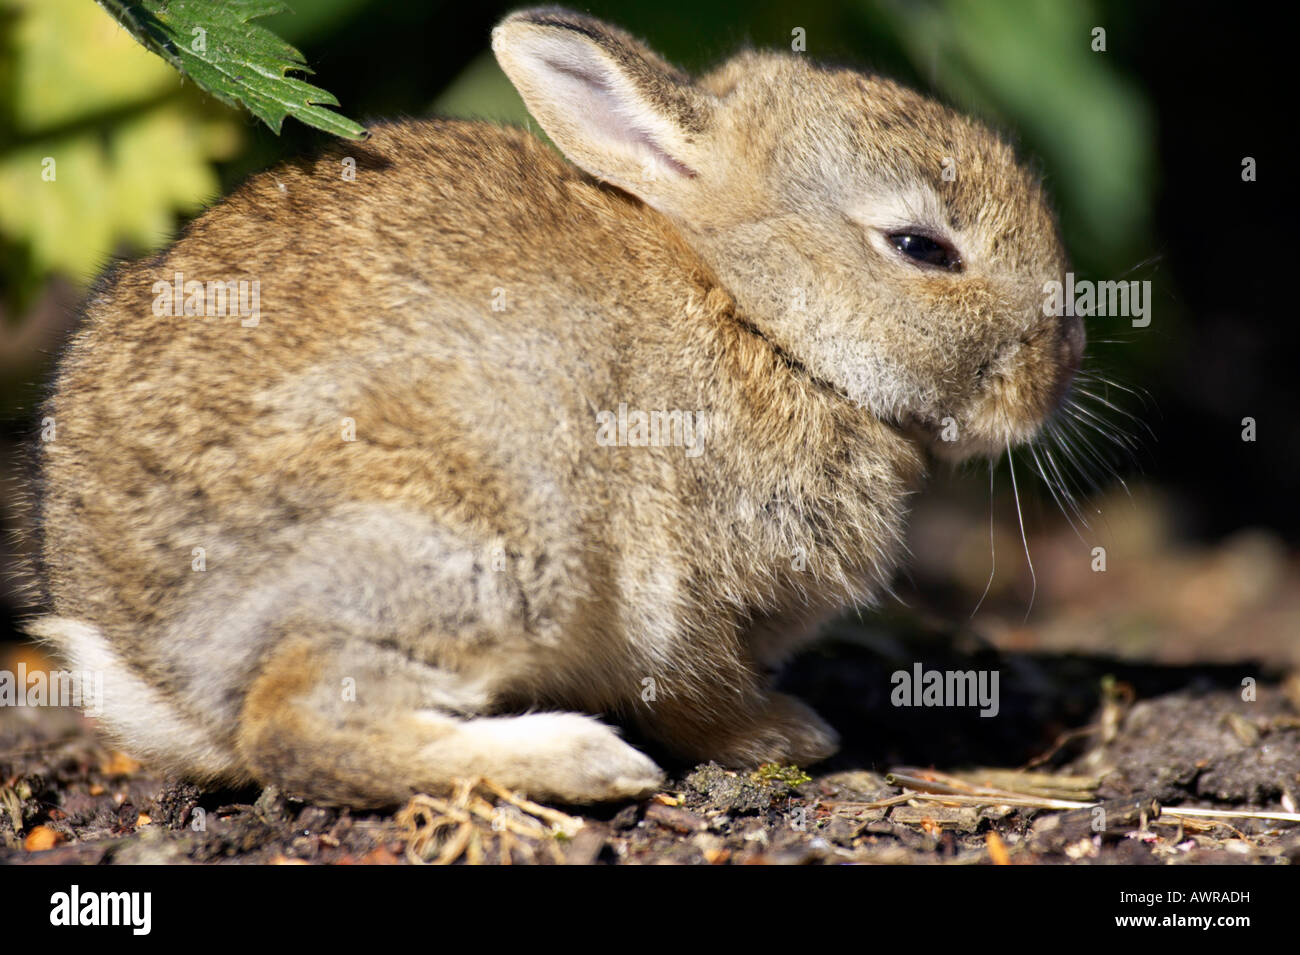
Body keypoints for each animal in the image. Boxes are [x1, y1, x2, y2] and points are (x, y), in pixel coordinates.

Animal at [27, 7, 1083, 806]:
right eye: (921, 247)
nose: (1059, 366)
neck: (759, 317)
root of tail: (144, 658)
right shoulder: (681, 586)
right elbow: (697, 689)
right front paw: (786, 735)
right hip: (471, 541)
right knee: (299, 725)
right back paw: (586, 761)